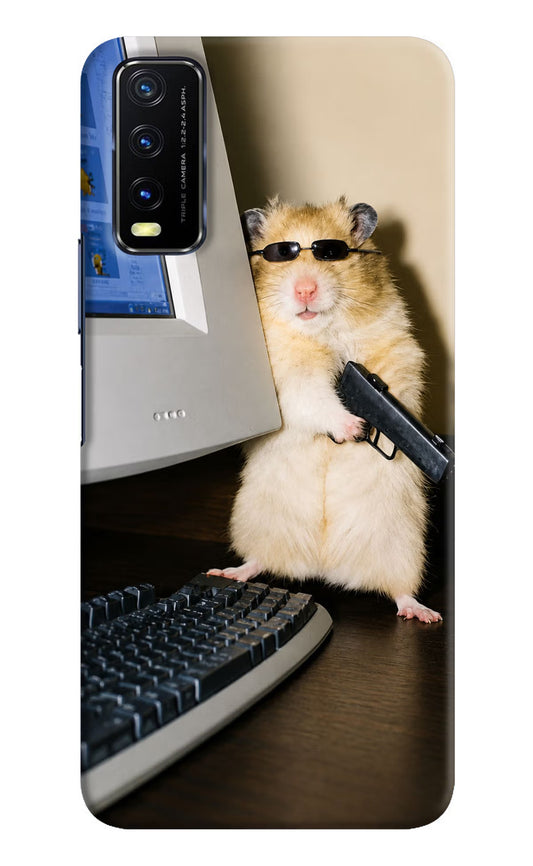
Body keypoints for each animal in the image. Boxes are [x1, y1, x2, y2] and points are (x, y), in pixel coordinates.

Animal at [208, 197, 442, 623]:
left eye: (331, 253)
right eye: (281, 254)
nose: (305, 289)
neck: (321, 330)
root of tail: (325, 567)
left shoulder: (398, 349)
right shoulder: (287, 378)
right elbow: (314, 398)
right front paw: (353, 428)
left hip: (403, 545)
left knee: (400, 590)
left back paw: (423, 613)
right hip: (257, 522)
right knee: (259, 561)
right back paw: (229, 572)